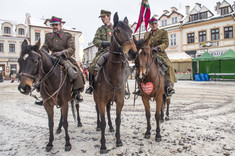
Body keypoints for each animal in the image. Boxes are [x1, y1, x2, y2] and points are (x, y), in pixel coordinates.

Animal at [93, 12, 138, 154]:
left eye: (131, 31)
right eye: (117, 31)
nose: (133, 52)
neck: (112, 75)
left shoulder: (119, 100)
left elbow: (118, 120)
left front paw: (118, 140)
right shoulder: (101, 99)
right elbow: (102, 121)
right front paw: (103, 145)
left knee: (108, 111)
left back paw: (111, 127)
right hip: (97, 98)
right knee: (98, 111)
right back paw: (98, 126)